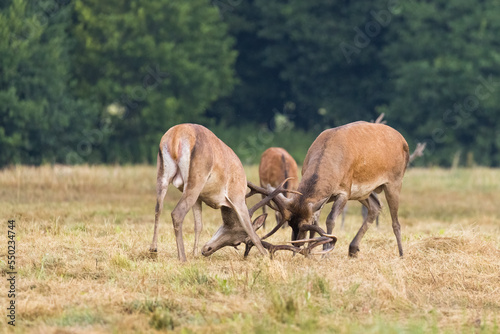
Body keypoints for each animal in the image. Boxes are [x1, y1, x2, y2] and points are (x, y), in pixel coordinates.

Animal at [150, 122, 274, 260]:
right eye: (237, 243)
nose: (206, 250)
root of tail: (176, 135)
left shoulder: (199, 198)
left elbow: (198, 225)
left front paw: (194, 254)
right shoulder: (237, 197)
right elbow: (250, 230)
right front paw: (266, 256)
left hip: (162, 175)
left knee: (158, 208)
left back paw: (153, 250)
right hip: (195, 180)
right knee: (177, 213)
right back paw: (182, 258)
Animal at [247, 121, 410, 258]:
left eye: (303, 228)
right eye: (291, 224)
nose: (296, 247)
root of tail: (404, 141)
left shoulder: (345, 190)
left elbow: (330, 220)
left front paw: (325, 253)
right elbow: (316, 221)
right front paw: (310, 252)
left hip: (395, 181)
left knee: (395, 221)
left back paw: (401, 254)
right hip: (363, 192)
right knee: (376, 207)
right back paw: (353, 249)